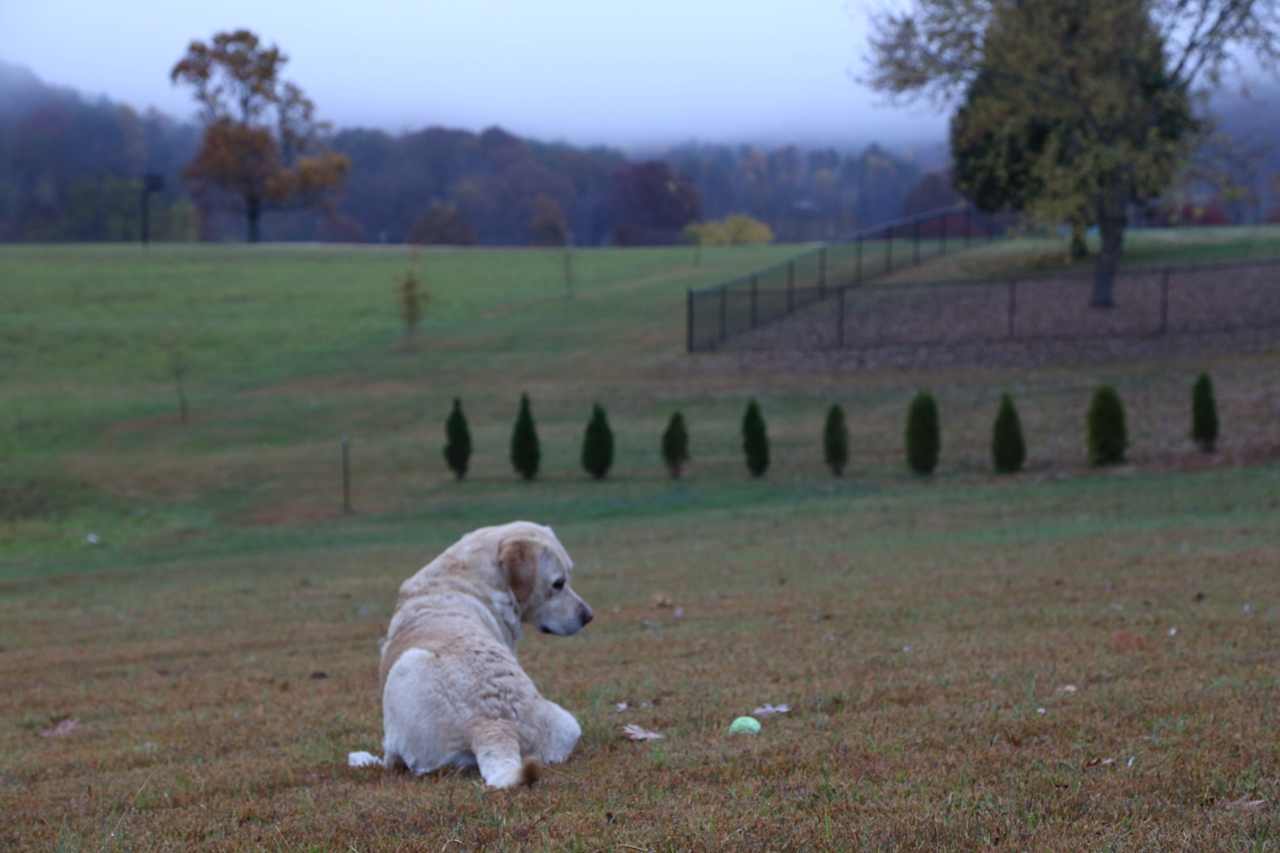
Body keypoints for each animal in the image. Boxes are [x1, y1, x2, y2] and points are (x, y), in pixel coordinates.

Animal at [348, 517, 591, 783]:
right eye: (559, 584)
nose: (588, 616)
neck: (468, 579)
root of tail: (493, 726)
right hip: (568, 724)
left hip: (405, 666)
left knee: (393, 761)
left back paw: (363, 758)